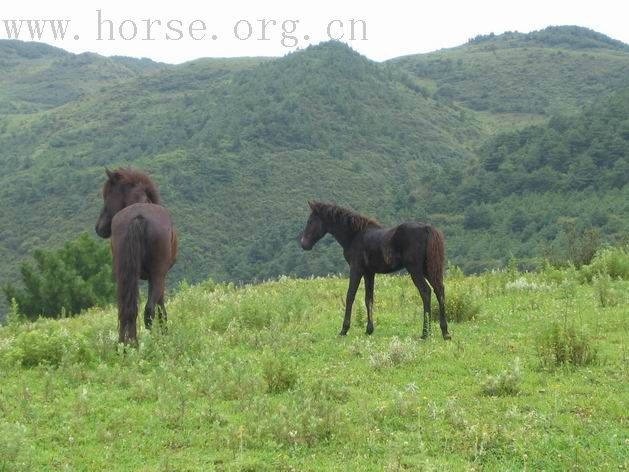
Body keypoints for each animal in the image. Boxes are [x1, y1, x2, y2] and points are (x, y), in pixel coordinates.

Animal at [94, 168, 177, 344]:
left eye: (107, 194)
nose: (99, 228)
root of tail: (138, 217)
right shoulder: (160, 277)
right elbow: (161, 309)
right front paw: (165, 334)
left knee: (124, 309)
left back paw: (124, 344)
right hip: (157, 274)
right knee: (149, 310)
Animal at [298, 202, 446, 340]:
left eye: (310, 221)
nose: (303, 244)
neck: (354, 235)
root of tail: (427, 228)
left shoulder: (356, 269)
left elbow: (350, 296)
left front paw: (344, 330)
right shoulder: (369, 272)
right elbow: (369, 298)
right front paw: (369, 330)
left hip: (414, 269)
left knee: (426, 291)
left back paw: (425, 333)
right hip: (428, 269)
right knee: (439, 290)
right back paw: (445, 332)